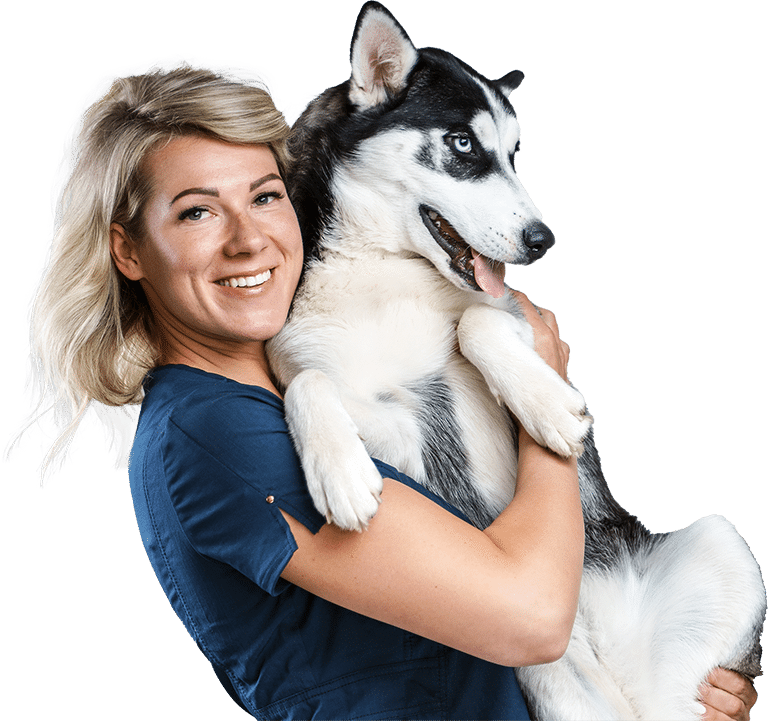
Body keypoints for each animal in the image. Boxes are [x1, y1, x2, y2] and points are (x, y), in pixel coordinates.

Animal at [268, 4, 764, 716]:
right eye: (462, 144)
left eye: (514, 152)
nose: (542, 239)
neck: (384, 269)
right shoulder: (391, 430)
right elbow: (307, 380)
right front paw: (340, 474)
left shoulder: (521, 321)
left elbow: (477, 321)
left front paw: (549, 407)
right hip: (547, 678)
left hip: (718, 547)